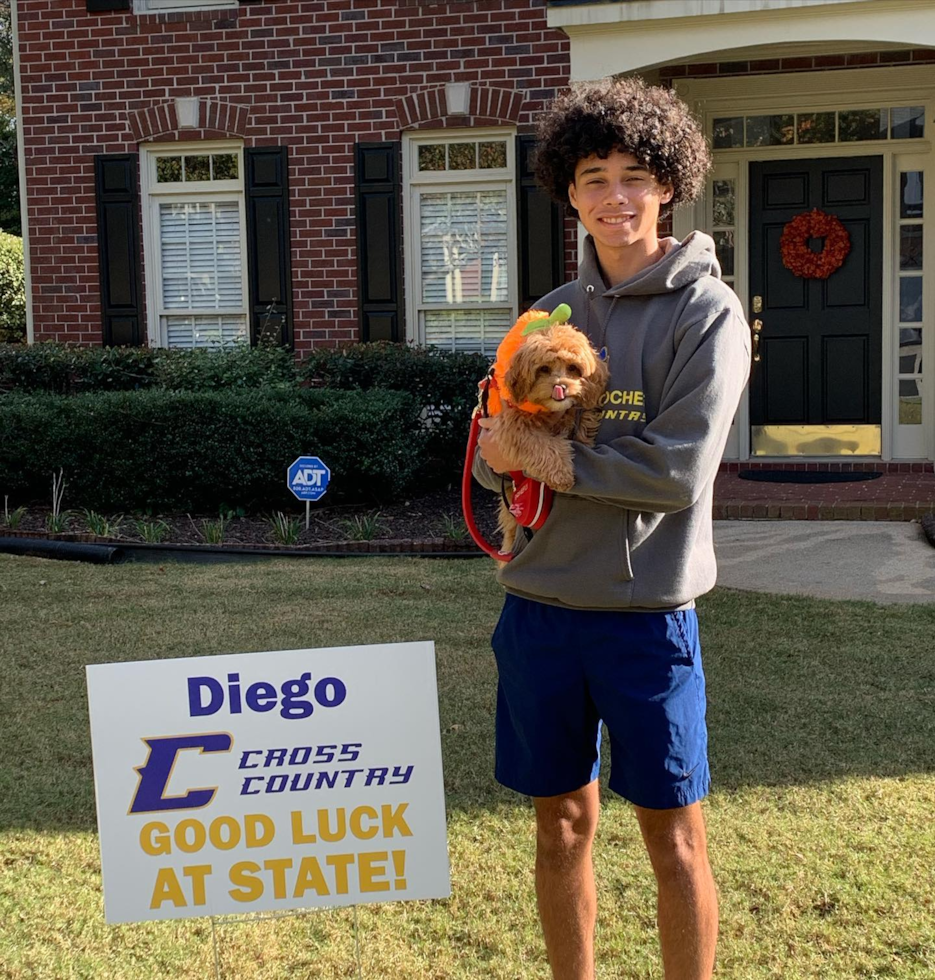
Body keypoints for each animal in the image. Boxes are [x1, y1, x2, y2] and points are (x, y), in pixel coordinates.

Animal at [486, 318, 612, 556]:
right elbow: (541, 445)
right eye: (544, 368)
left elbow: (582, 420)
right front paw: (561, 475)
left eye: (573, 368)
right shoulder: (512, 427)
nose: (561, 387)